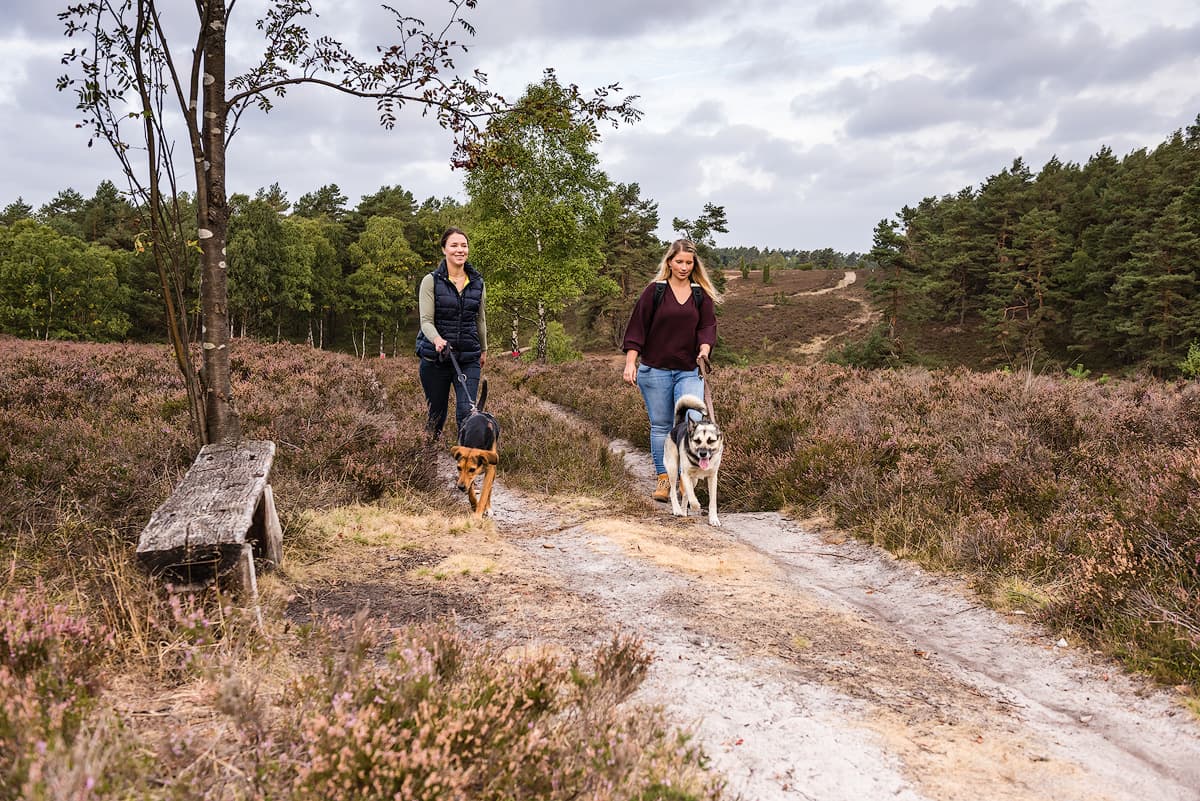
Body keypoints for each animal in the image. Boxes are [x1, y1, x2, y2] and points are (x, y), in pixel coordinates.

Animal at [448, 381, 499, 520]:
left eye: (472, 469)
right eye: (458, 468)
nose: (460, 487)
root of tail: (477, 411)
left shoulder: (490, 469)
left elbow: (485, 492)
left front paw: (478, 513)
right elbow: (471, 490)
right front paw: (474, 504)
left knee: (489, 490)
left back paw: (488, 508)